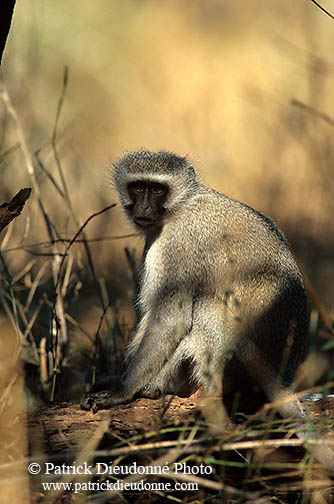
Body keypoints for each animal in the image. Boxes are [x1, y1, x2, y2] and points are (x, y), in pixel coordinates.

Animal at [81, 150, 334, 468]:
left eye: (158, 190)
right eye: (138, 187)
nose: (145, 206)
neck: (181, 206)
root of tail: (282, 372)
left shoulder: (175, 244)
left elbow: (170, 320)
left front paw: (121, 390)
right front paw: (115, 378)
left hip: (240, 356)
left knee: (201, 312)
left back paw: (176, 389)